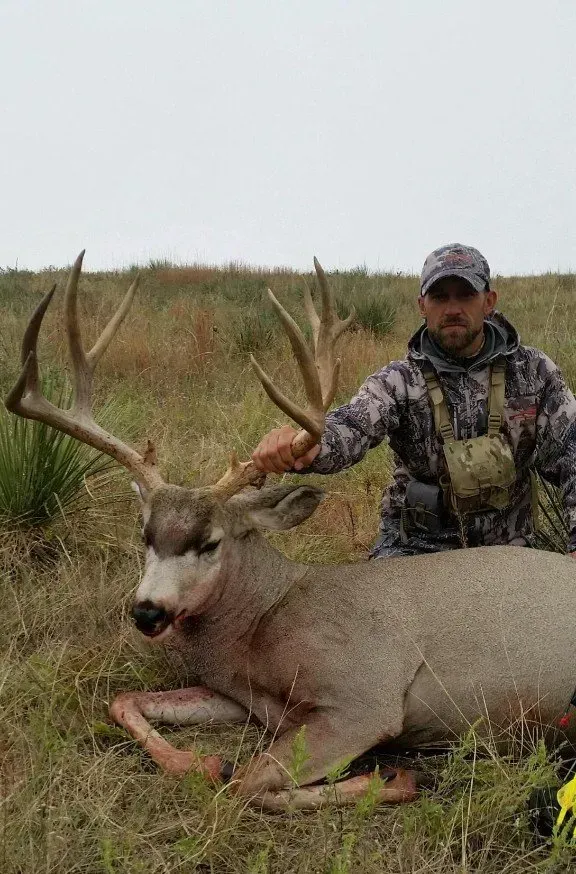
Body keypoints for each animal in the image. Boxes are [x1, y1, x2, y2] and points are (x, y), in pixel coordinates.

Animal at [6, 251, 576, 811]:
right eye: (145, 534)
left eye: (210, 542)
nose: (148, 612)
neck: (262, 622)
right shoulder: (239, 695)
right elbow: (124, 701)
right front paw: (203, 761)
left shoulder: (365, 695)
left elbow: (249, 783)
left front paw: (392, 779)